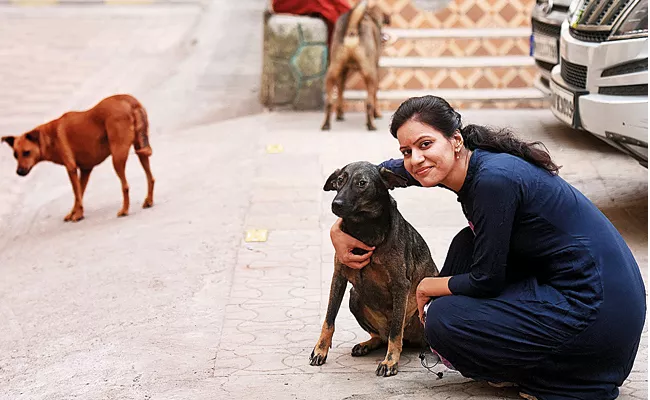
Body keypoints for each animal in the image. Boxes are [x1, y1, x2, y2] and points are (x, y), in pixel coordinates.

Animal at [1, 95, 154, 223]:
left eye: (26, 153)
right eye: (15, 155)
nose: (19, 172)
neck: (49, 137)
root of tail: (131, 102)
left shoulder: (71, 168)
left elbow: (77, 193)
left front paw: (78, 215)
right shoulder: (86, 170)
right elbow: (79, 193)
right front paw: (73, 213)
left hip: (117, 157)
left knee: (125, 186)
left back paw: (124, 210)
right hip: (141, 151)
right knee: (150, 178)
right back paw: (149, 201)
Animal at [310, 161, 440, 376]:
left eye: (362, 183)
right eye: (339, 181)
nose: (336, 204)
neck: (363, 227)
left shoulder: (400, 285)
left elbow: (396, 330)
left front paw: (390, 362)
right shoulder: (338, 276)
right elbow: (329, 318)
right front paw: (320, 350)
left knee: (395, 335)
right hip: (354, 296)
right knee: (380, 336)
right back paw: (367, 344)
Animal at [320, 0, 388, 131]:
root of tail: (352, 30)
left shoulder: (343, 72)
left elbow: (340, 92)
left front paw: (340, 114)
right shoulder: (376, 71)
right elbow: (375, 95)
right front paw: (377, 114)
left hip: (332, 73)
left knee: (329, 102)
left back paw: (326, 124)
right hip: (370, 74)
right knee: (369, 103)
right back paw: (371, 124)